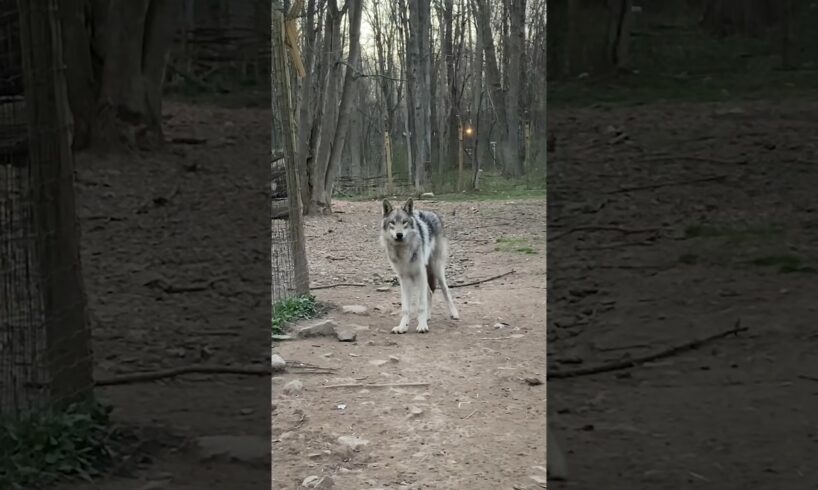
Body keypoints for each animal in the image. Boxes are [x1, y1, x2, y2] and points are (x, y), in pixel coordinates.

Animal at [378, 198, 456, 334]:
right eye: (392, 223)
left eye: (404, 222)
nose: (399, 234)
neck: (403, 251)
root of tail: (432, 212)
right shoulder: (403, 278)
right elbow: (405, 307)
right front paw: (402, 327)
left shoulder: (420, 273)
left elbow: (421, 305)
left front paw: (422, 326)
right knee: (429, 292)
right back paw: (428, 316)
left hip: (436, 269)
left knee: (445, 291)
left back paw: (454, 314)